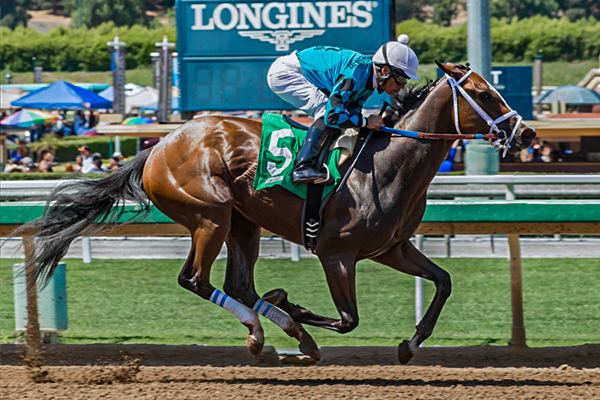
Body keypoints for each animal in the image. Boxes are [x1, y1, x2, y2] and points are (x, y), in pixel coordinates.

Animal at [17, 61, 536, 364]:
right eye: (485, 94)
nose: (526, 133)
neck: (387, 164)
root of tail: (158, 145)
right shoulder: (336, 254)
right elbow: (348, 319)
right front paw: (294, 306)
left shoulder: (391, 248)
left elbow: (443, 281)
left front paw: (409, 345)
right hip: (211, 216)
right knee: (196, 280)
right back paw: (269, 330)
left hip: (243, 222)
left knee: (238, 285)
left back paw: (281, 331)